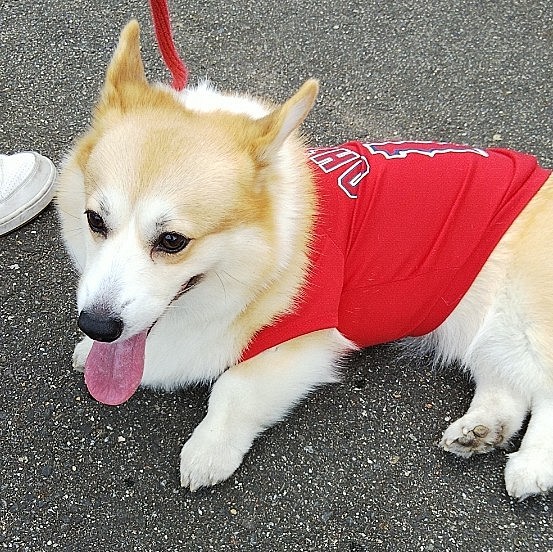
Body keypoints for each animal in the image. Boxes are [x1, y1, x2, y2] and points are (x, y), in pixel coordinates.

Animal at [57, 20, 552, 500]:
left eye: (173, 240)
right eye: (95, 220)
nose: (96, 326)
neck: (268, 250)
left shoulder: (306, 339)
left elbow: (233, 388)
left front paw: (209, 449)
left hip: (523, 315)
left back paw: (531, 465)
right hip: (483, 329)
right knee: (509, 384)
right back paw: (482, 429)